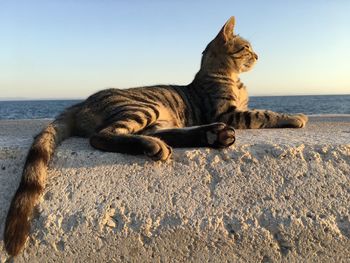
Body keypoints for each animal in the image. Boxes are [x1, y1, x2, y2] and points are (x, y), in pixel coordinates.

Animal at [4, 16, 306, 256]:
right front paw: (294, 117)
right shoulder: (228, 113)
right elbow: (264, 114)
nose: (259, 56)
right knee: (103, 137)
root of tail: (80, 103)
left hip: (157, 117)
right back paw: (161, 143)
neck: (228, 77)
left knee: (170, 135)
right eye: (246, 48)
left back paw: (211, 136)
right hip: (142, 109)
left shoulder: (228, 114)